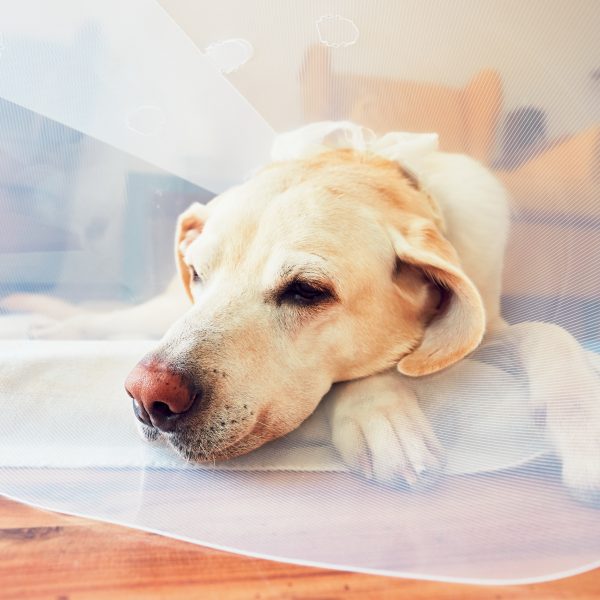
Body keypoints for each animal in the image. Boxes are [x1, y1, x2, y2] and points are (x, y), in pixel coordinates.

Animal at [7, 124, 600, 500]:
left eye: (307, 291)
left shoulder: (487, 328)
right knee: (109, 321)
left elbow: (549, 331)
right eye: (198, 272)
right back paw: (42, 324)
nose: (150, 398)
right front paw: (381, 414)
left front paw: (583, 428)